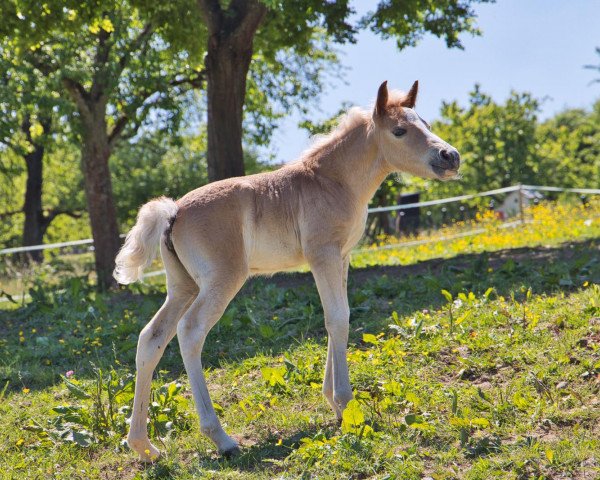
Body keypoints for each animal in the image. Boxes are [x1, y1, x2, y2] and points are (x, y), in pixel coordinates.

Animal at [113, 79, 460, 462]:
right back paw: (221, 439)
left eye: (425, 123)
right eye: (400, 131)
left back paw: (144, 446)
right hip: (222, 280)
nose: (450, 156)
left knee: (152, 338)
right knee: (190, 333)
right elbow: (337, 318)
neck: (333, 182)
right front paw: (345, 403)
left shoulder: (340, 258)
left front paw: (334, 404)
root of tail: (173, 211)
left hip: (183, 286)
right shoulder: (323, 255)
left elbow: (338, 317)